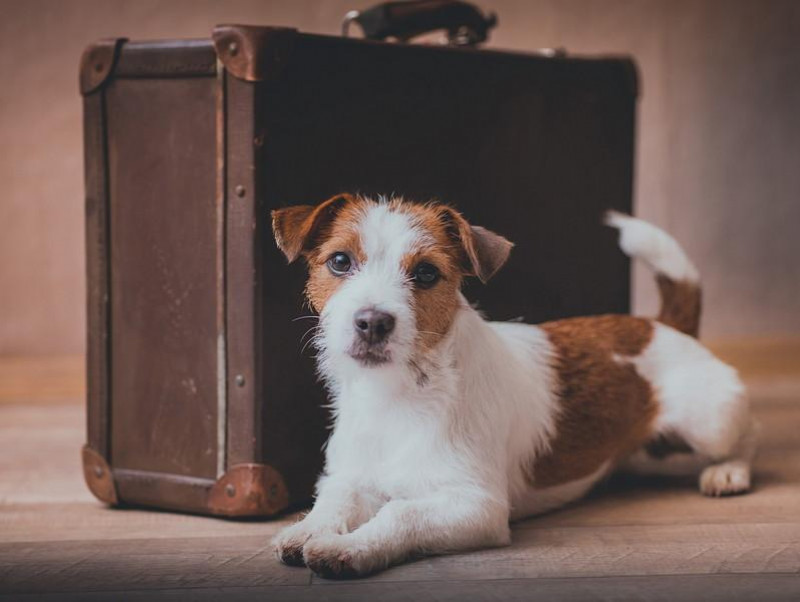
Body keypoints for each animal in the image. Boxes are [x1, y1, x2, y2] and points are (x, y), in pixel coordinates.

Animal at [270, 192, 756, 576]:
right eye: (340, 261)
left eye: (426, 273)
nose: (372, 322)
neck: (398, 393)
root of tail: (662, 325)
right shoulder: (349, 475)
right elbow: (336, 499)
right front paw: (308, 529)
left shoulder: (476, 506)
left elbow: (400, 514)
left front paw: (350, 547)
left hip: (710, 419)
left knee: (743, 436)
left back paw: (728, 471)